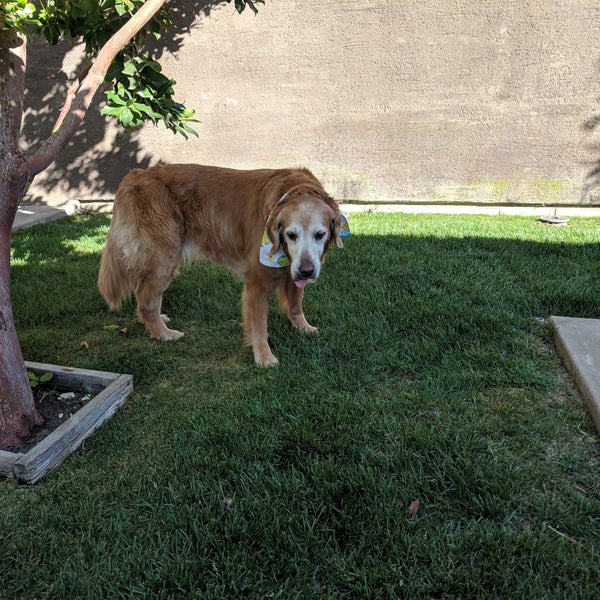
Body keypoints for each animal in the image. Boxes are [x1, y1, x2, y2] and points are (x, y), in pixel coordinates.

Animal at [96, 164, 344, 366]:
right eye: (291, 235)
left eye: (320, 235)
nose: (307, 271)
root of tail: (135, 175)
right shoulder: (257, 284)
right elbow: (259, 326)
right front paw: (263, 356)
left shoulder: (293, 270)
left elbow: (295, 304)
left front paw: (303, 327)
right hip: (164, 257)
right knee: (145, 298)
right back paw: (163, 333)